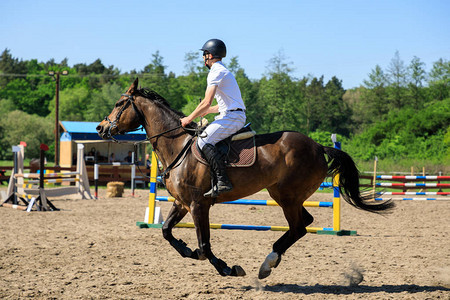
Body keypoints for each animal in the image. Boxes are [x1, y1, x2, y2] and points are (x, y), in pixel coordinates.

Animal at [96, 78, 394, 278]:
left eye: (119, 104)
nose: (100, 127)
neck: (177, 145)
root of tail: (318, 146)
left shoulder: (198, 205)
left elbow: (204, 245)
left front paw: (228, 268)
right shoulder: (182, 203)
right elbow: (167, 231)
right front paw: (187, 251)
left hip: (286, 195)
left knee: (300, 226)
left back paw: (267, 263)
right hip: (287, 196)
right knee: (303, 224)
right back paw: (270, 261)